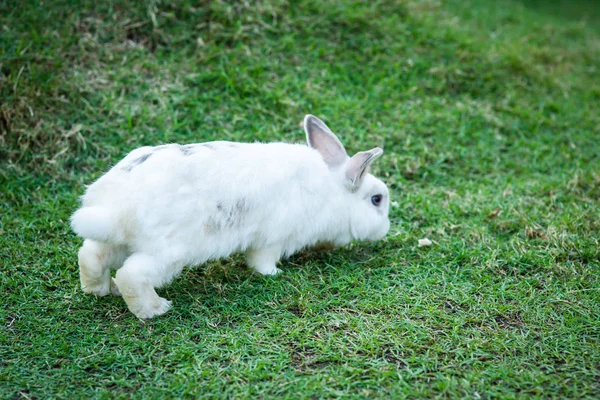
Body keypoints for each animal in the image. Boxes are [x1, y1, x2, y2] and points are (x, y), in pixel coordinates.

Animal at [70, 114, 392, 318]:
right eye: (376, 199)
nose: (386, 228)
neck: (331, 190)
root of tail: (115, 208)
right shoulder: (272, 240)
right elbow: (261, 261)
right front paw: (275, 274)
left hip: (116, 243)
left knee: (90, 256)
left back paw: (100, 290)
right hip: (167, 252)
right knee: (131, 275)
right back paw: (155, 309)